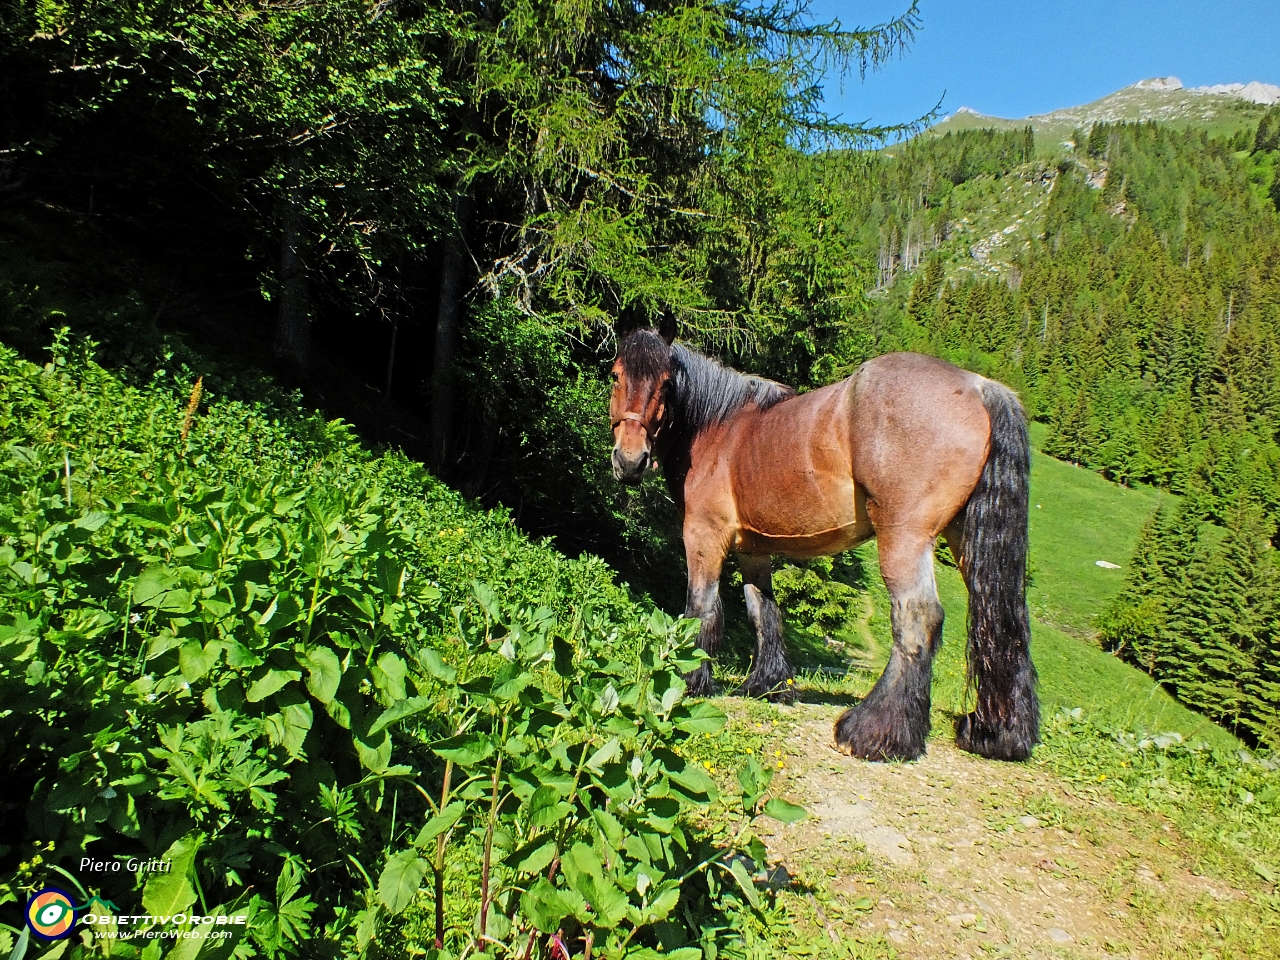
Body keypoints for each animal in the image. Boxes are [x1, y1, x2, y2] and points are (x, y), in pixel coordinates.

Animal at [604, 320, 1034, 762]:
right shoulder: (753, 551)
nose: (630, 461)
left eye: (667, 383)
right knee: (1001, 620)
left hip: (904, 538)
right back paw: (995, 735)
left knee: (918, 618)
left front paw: (689, 681)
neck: (719, 428)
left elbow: (701, 611)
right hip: (966, 542)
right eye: (616, 375)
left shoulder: (704, 537)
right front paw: (768, 685)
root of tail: (980, 386)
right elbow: (764, 612)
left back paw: (875, 732)